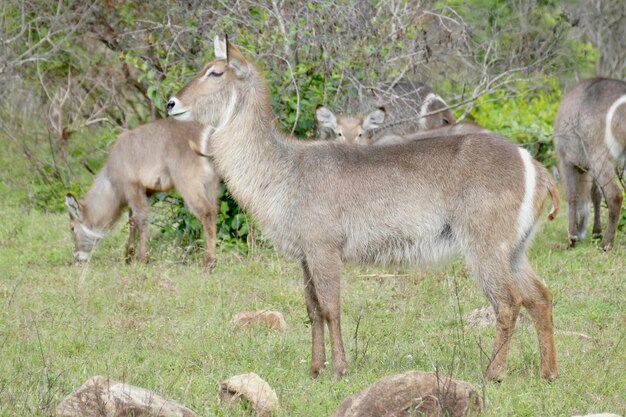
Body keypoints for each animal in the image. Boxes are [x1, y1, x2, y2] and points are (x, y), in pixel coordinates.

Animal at [65, 118, 218, 266]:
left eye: (72, 228)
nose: (76, 256)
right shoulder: (146, 191)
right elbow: (133, 220)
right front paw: (128, 256)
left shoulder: (133, 187)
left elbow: (142, 219)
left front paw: (143, 258)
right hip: (211, 185)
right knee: (215, 211)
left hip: (188, 183)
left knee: (206, 212)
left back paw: (209, 262)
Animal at [166, 35, 560, 380]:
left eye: (215, 72)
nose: (171, 103)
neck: (284, 167)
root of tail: (534, 165)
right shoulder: (305, 255)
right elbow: (312, 310)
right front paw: (315, 369)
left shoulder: (324, 248)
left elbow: (330, 307)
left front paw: (339, 369)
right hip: (515, 250)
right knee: (540, 296)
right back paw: (549, 373)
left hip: (485, 247)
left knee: (509, 302)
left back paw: (493, 373)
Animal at [552, 78, 620, 250]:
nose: (581, 230)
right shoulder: (589, 168)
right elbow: (596, 195)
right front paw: (596, 232)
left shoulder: (567, 161)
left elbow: (573, 195)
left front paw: (572, 237)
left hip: (600, 156)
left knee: (615, 194)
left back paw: (606, 244)